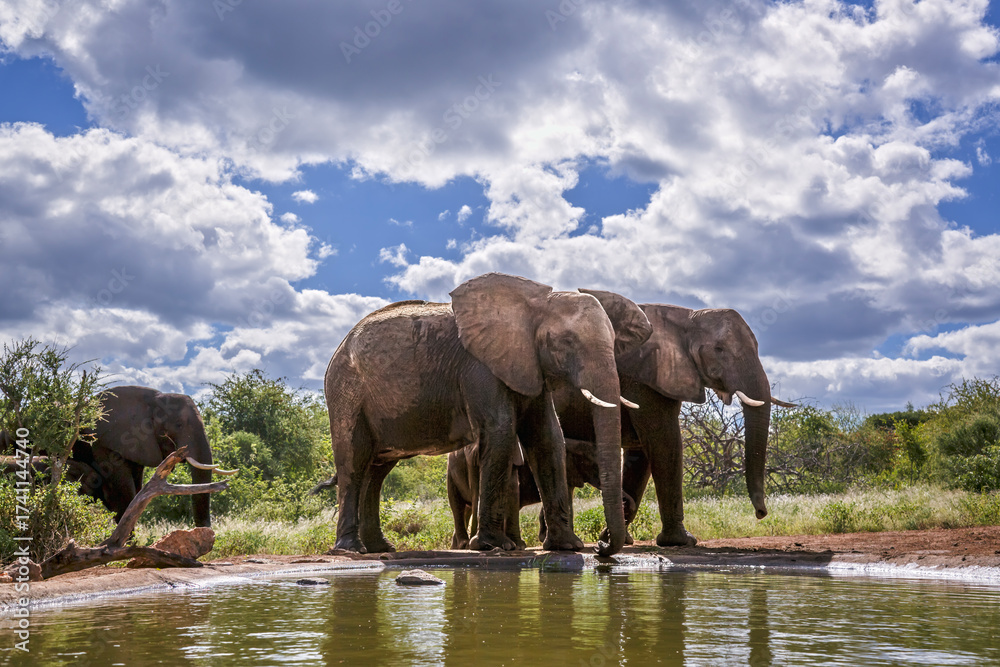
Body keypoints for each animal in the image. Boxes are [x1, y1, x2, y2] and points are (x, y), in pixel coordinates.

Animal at [324, 272, 651, 556]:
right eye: (566, 342)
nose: (601, 547)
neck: (535, 305)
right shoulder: (479, 367)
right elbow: (501, 429)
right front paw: (493, 546)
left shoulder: (529, 365)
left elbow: (547, 437)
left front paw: (567, 546)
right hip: (346, 390)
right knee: (354, 461)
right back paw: (351, 549)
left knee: (377, 470)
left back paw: (380, 548)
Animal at [554, 293, 794, 547]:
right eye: (719, 349)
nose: (761, 513)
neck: (686, 319)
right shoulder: (643, 378)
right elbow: (664, 443)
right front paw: (681, 541)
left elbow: (641, 455)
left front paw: (616, 539)